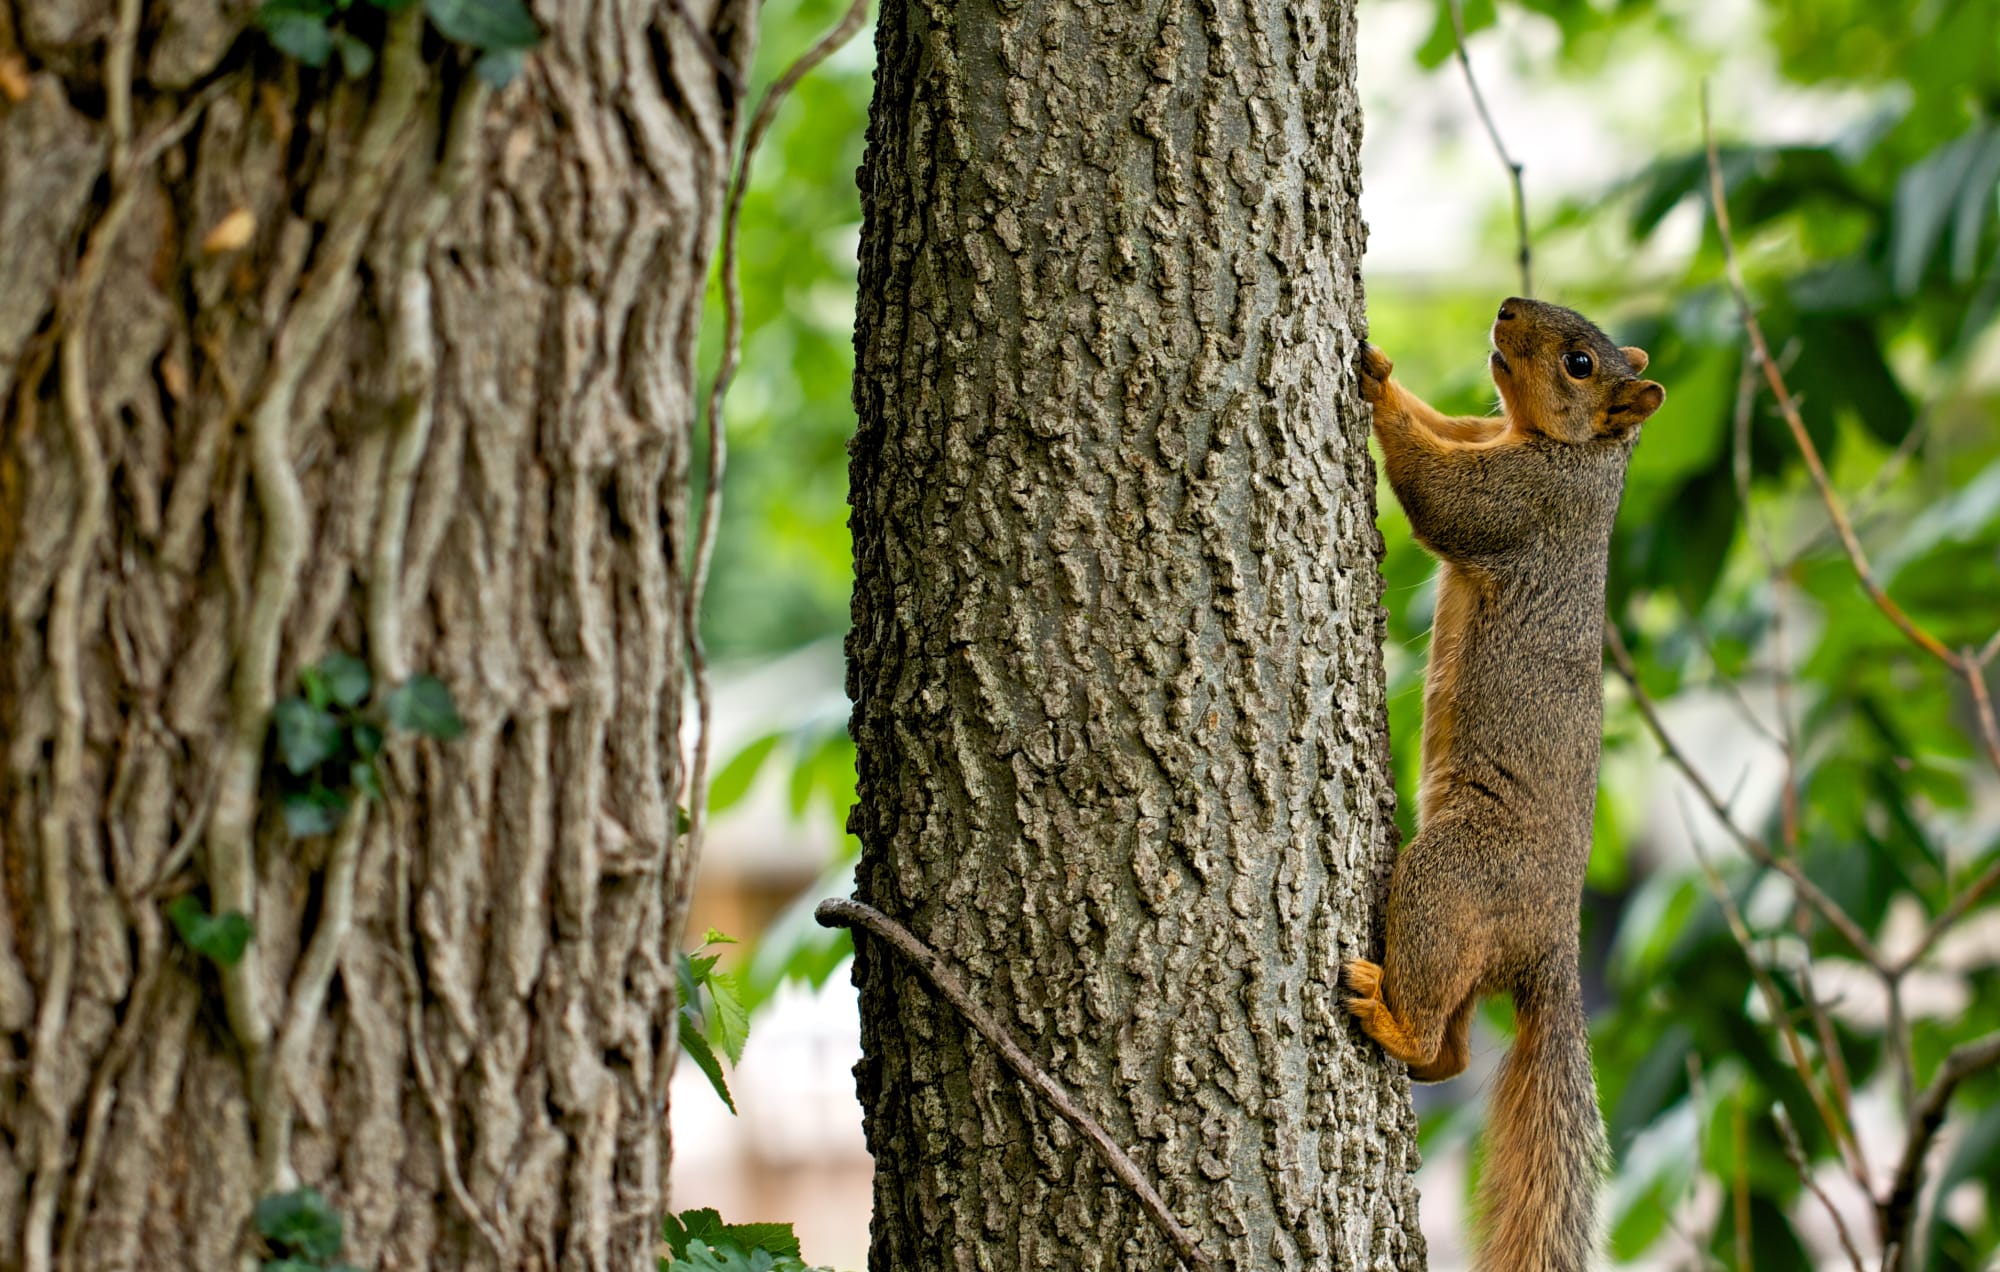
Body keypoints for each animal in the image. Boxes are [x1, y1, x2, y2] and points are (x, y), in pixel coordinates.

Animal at [1343, 298, 1665, 1272]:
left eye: (1579, 362)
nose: (1507, 307)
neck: (1574, 456)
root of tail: (1551, 947)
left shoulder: (1524, 505)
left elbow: (1443, 497)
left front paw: (1376, 391)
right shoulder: (1484, 432)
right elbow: (1449, 430)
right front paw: (1388, 367)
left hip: (1450, 879)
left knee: (1432, 1000)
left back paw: (1389, 1022)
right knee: (1454, 1051)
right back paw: (1421, 1052)